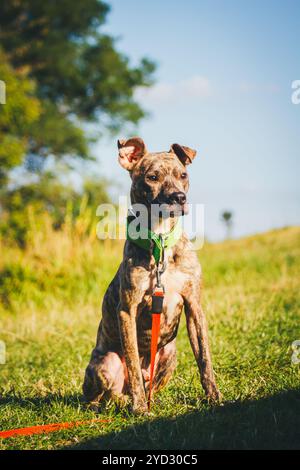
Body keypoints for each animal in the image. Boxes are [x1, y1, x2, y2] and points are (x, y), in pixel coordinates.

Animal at [83, 137, 221, 414]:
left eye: (183, 175)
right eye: (152, 177)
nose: (179, 197)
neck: (160, 243)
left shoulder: (194, 305)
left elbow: (204, 358)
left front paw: (214, 397)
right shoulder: (127, 309)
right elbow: (133, 363)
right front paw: (139, 408)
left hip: (170, 353)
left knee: (150, 385)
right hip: (105, 363)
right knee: (105, 396)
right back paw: (125, 402)